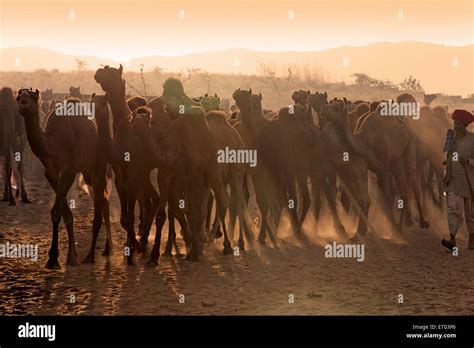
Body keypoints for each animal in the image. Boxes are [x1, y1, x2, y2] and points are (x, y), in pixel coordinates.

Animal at [16, 89, 111, 270]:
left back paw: (94, 255)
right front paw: (70, 256)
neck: (52, 144)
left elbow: (56, 210)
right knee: (104, 199)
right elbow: (65, 212)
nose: (23, 103)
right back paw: (106, 249)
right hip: (87, 171)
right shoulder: (51, 172)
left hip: (99, 164)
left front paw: (53, 259)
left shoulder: (69, 171)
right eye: (19, 98)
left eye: (33, 97)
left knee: (100, 197)